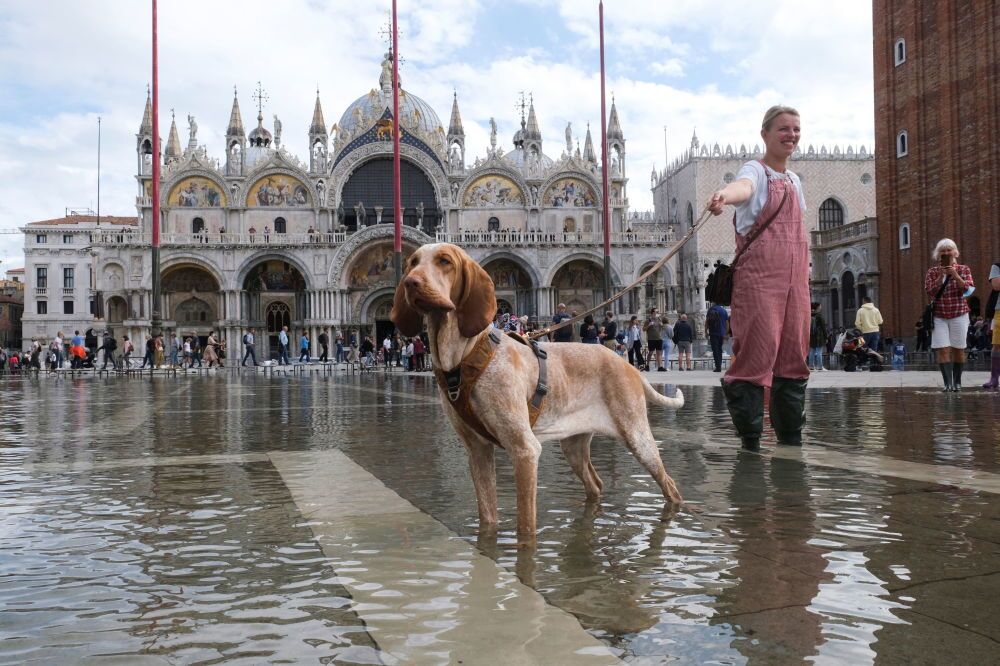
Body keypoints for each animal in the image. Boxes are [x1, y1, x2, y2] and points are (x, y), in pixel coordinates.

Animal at [388, 241, 680, 536]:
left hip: (638, 438)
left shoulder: (525, 451)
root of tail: (627, 365)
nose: (410, 282)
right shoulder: (478, 452)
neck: (463, 357)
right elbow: (488, 517)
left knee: (670, 486)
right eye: (412, 263)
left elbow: (525, 526)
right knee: (596, 485)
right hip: (573, 446)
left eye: (445, 261)